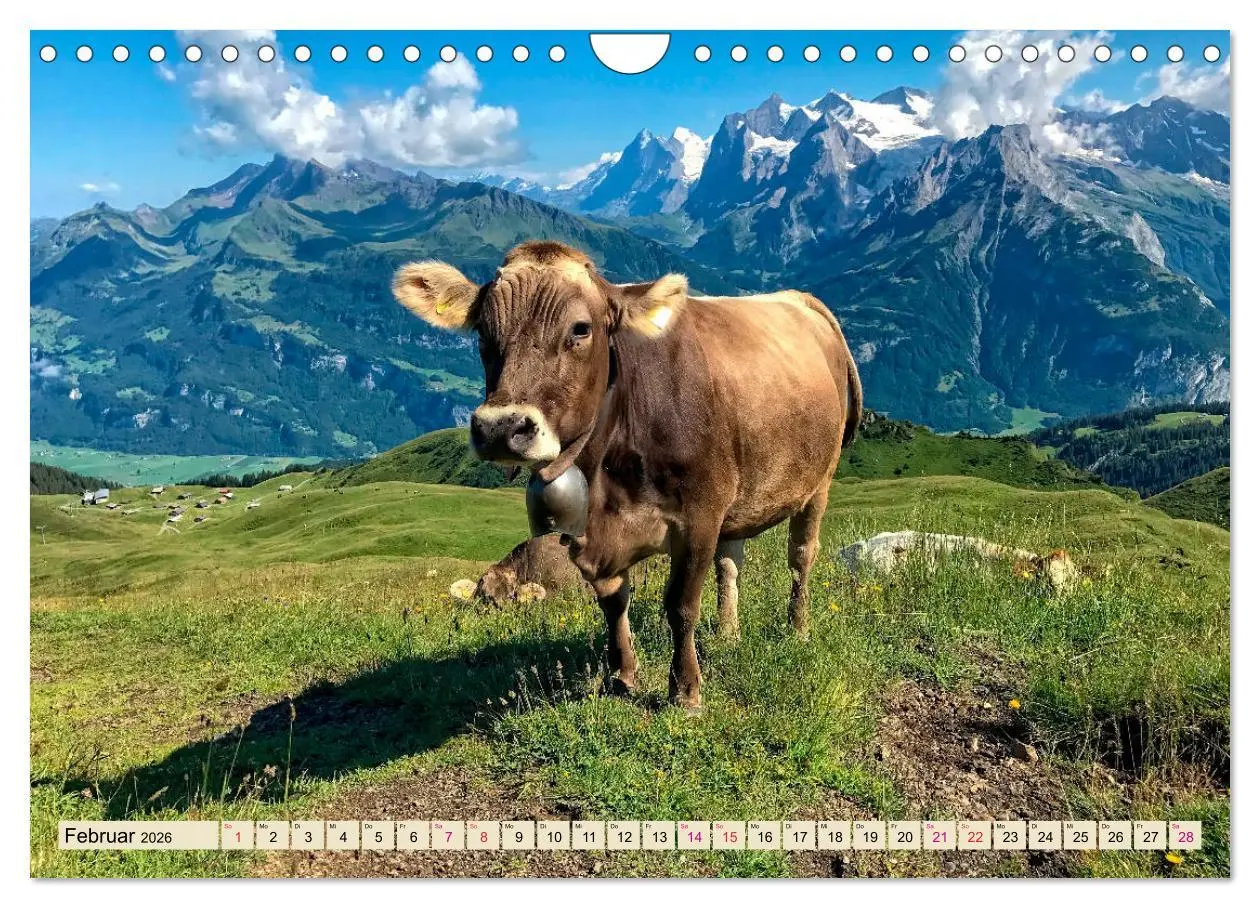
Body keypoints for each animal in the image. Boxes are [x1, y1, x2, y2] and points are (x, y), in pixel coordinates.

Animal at [392, 241, 862, 711]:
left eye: (581, 329)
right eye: (483, 332)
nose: (500, 428)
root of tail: (801, 300)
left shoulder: (700, 516)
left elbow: (681, 604)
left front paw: (685, 690)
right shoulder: (588, 532)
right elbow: (614, 602)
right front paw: (622, 676)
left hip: (818, 481)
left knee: (801, 556)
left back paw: (797, 630)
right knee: (731, 562)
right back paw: (728, 635)